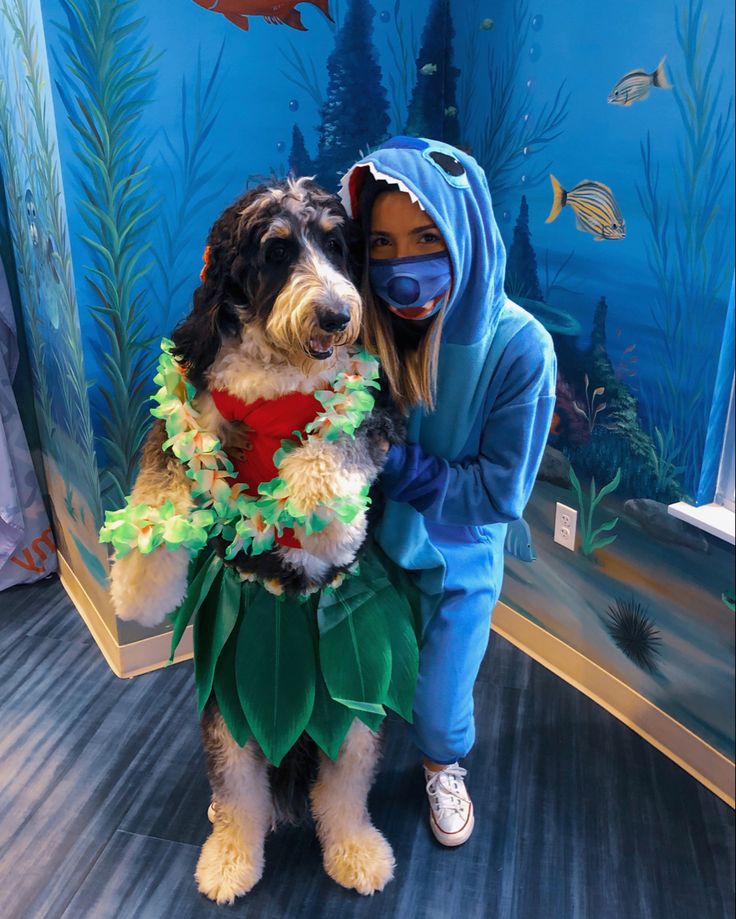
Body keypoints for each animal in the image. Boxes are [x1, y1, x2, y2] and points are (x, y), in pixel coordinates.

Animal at [108, 180, 408, 904]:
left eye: (337, 243)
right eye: (275, 250)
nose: (335, 315)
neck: (282, 371)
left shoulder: (375, 412)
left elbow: (339, 441)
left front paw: (323, 513)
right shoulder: (195, 406)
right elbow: (162, 470)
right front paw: (139, 580)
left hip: (353, 706)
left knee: (342, 792)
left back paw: (356, 850)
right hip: (230, 707)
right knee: (240, 791)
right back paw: (229, 855)